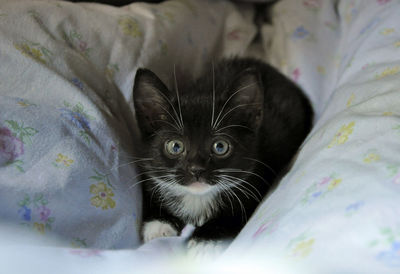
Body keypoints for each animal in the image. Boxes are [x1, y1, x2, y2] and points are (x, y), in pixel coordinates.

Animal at [131, 57, 312, 244]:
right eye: (175, 146)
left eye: (220, 146)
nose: (196, 169)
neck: (197, 198)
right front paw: (158, 226)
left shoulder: (256, 181)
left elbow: (234, 216)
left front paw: (203, 241)